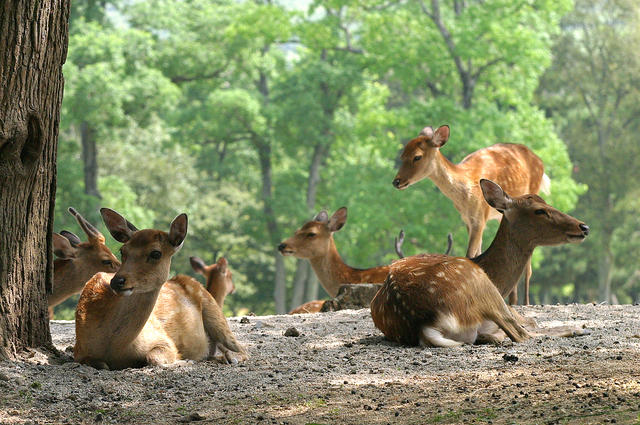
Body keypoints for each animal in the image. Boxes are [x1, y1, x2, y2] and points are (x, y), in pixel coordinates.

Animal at [74, 209, 246, 368]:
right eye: (122, 250)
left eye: (156, 253)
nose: (117, 281)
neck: (113, 347)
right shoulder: (79, 351)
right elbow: (98, 363)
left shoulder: (165, 341)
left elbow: (154, 358)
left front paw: (185, 360)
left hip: (216, 315)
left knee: (242, 349)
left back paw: (228, 358)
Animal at [370, 177, 592, 346]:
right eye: (539, 210)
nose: (584, 227)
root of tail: (425, 325)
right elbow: (530, 323)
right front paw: (579, 327)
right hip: (483, 288)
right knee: (521, 334)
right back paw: (578, 328)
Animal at [390, 125, 552, 304]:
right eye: (402, 154)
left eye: (417, 156)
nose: (396, 181)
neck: (465, 193)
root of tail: (540, 162)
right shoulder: (468, 220)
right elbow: (478, 253)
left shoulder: (480, 217)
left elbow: (469, 254)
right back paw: (512, 300)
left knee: (529, 265)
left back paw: (526, 302)